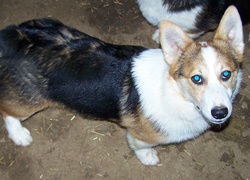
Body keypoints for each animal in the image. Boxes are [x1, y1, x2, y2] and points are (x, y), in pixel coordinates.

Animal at [0, 5, 244, 166]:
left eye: (226, 74)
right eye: (196, 78)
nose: (220, 112)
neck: (177, 93)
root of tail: (17, 34)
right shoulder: (139, 135)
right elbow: (141, 146)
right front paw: (148, 158)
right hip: (30, 103)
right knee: (7, 111)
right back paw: (19, 135)